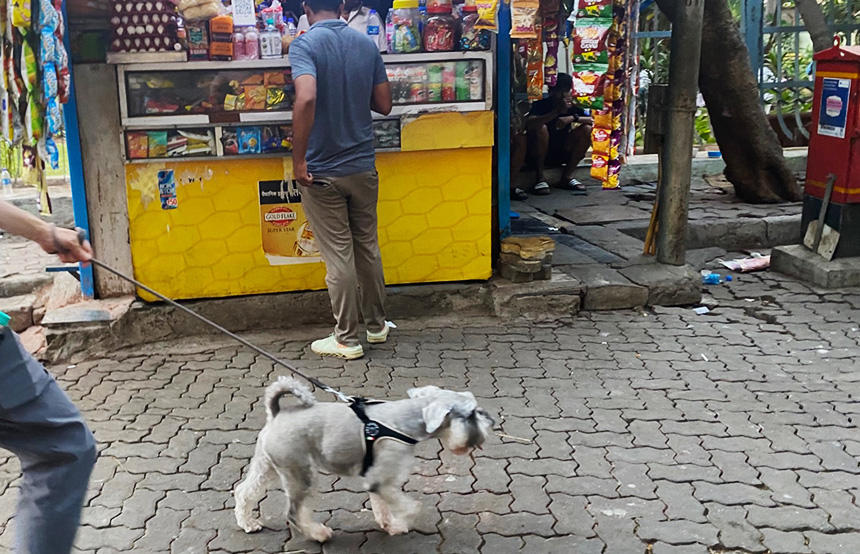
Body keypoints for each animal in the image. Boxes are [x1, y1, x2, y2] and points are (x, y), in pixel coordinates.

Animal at [232, 376, 494, 540]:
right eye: (471, 413)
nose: (490, 422)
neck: (405, 421)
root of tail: (276, 414)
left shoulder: (379, 479)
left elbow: (381, 507)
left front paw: (389, 525)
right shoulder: (383, 481)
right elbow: (410, 507)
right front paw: (403, 523)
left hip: (266, 466)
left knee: (244, 491)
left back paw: (248, 523)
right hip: (301, 476)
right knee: (294, 513)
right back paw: (318, 534)